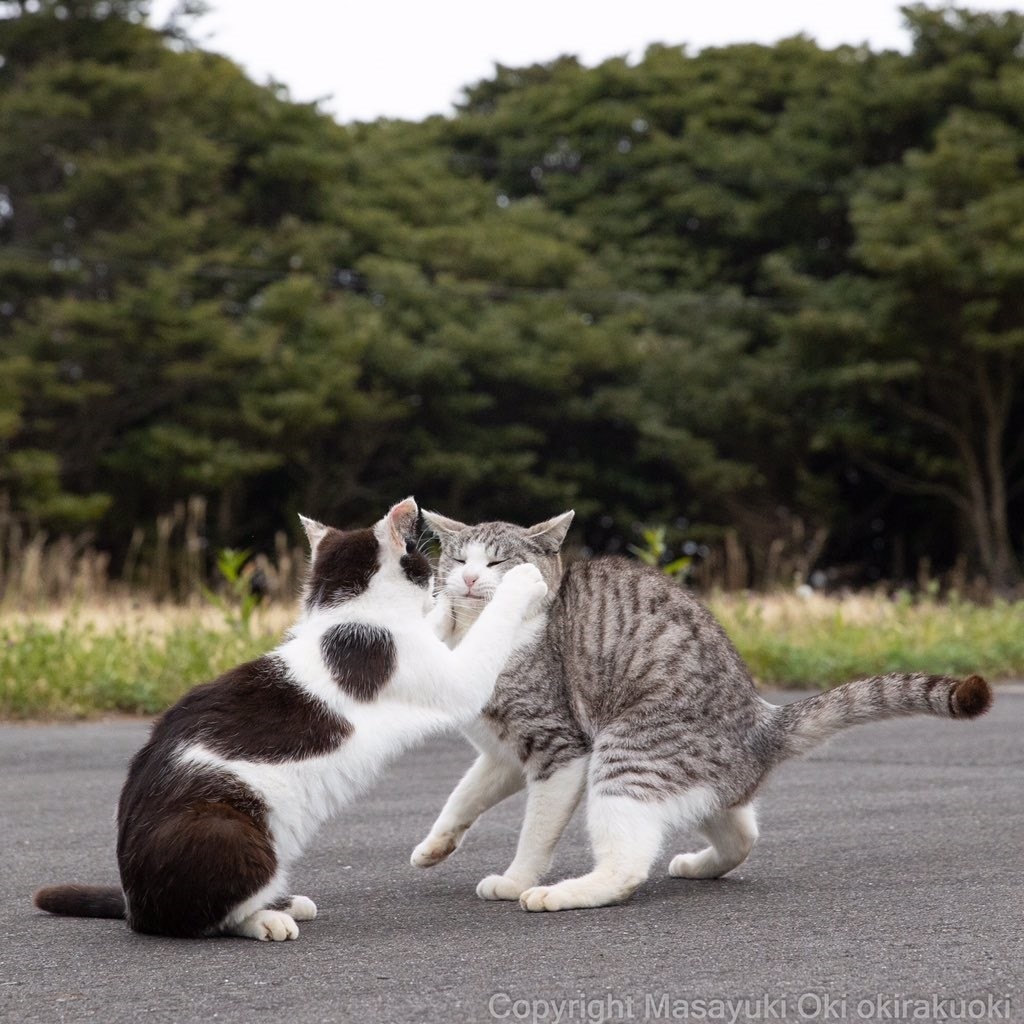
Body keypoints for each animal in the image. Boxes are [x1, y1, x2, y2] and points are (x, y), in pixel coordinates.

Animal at [32, 499, 544, 937]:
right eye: (421, 558)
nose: (444, 579)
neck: (347, 617)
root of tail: (133, 904)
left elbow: (438, 623)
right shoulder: (453, 678)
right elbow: (485, 633)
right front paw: (521, 581)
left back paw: (284, 902)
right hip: (231, 830)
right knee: (207, 919)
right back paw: (267, 918)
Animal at [413, 512, 991, 913]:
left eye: (497, 563)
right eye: (458, 560)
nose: (468, 580)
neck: (474, 638)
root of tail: (761, 721)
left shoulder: (561, 749)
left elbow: (535, 832)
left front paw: (516, 881)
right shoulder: (503, 754)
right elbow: (463, 795)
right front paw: (434, 846)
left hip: (625, 755)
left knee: (627, 866)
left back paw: (565, 893)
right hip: (689, 785)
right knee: (743, 832)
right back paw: (699, 865)